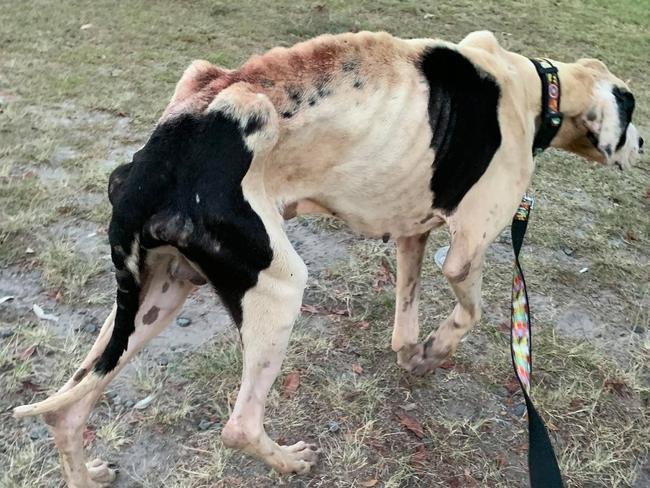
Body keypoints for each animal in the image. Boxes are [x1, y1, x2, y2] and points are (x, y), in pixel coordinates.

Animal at [12, 31, 640, 488]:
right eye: (634, 114)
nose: (641, 148)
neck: (535, 90)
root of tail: (152, 164)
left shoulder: (412, 235)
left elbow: (405, 315)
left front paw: (412, 354)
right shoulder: (463, 253)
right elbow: (471, 311)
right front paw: (437, 350)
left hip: (156, 298)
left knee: (66, 409)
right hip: (277, 288)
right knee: (238, 426)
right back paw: (290, 462)